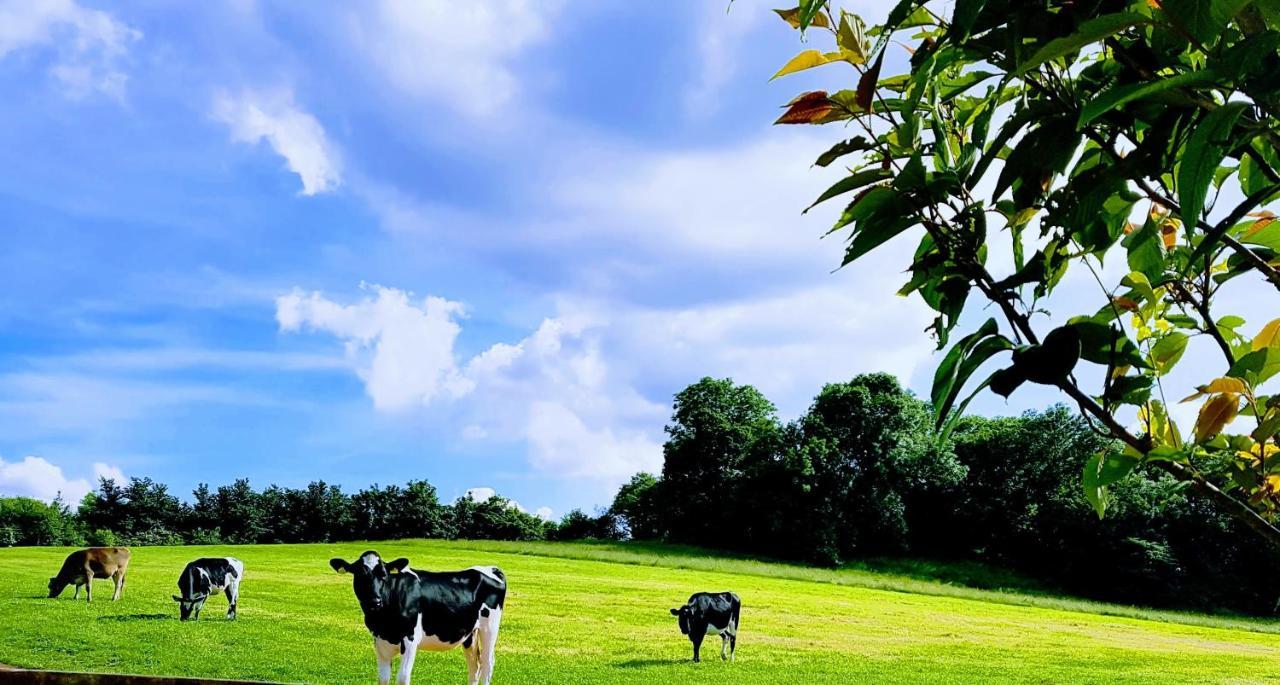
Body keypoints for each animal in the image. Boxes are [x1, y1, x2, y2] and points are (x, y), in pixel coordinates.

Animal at [330, 553, 504, 685]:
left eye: (384, 575)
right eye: (359, 574)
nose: (375, 601)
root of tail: (490, 568)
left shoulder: (410, 639)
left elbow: (402, 678)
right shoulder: (379, 640)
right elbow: (383, 678)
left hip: (489, 628)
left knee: (487, 663)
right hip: (470, 633)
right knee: (474, 665)